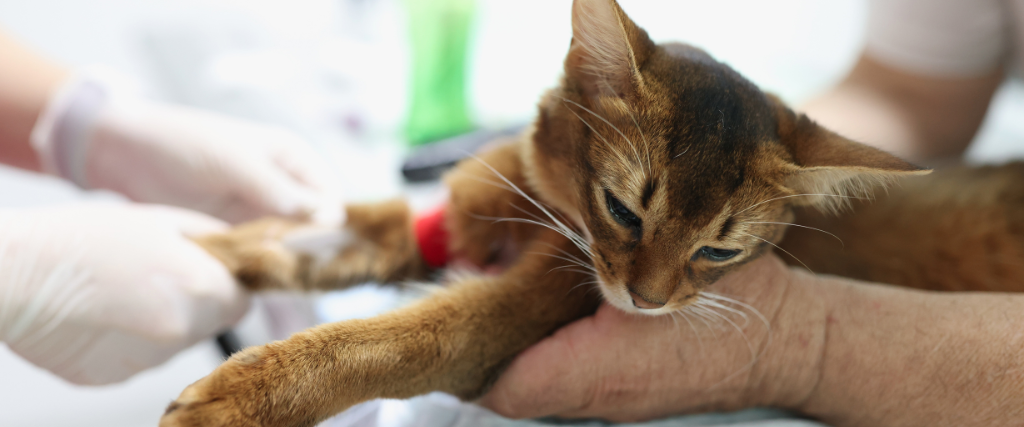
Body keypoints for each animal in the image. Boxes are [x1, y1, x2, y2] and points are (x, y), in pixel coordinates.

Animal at [159, 0, 1024, 423]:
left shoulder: (512, 317)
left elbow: (398, 340)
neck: (545, 208)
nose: (647, 302)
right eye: (622, 209)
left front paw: (238, 398)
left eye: (720, 252)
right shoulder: (446, 226)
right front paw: (199, 247)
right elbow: (337, 233)